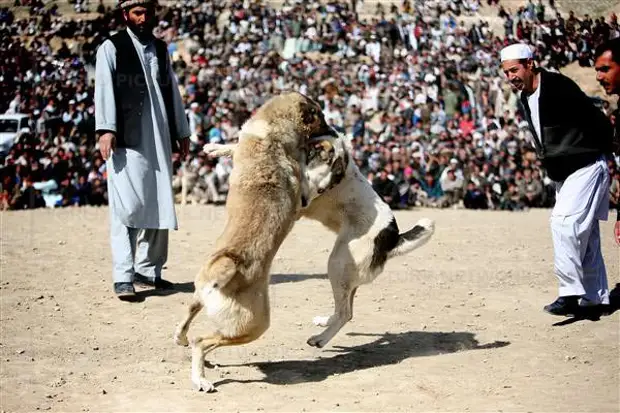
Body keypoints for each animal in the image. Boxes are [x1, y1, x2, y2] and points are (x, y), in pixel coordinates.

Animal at [174, 91, 336, 392]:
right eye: (320, 116)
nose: (334, 131)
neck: (272, 135)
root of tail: (229, 267)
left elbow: (234, 147)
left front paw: (213, 148)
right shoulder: (302, 192)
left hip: (207, 298)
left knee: (190, 313)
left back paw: (181, 339)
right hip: (254, 325)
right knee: (201, 341)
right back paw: (201, 379)